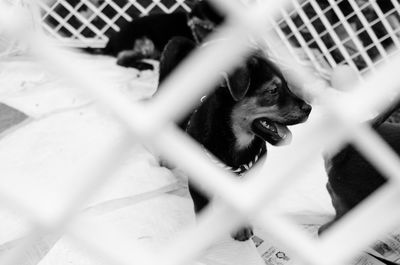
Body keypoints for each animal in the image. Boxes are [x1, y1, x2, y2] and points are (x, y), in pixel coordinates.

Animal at [156, 34, 312, 239]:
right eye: (272, 90)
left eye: (288, 86)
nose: (309, 109)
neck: (238, 140)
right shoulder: (199, 183)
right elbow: (202, 211)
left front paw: (241, 228)